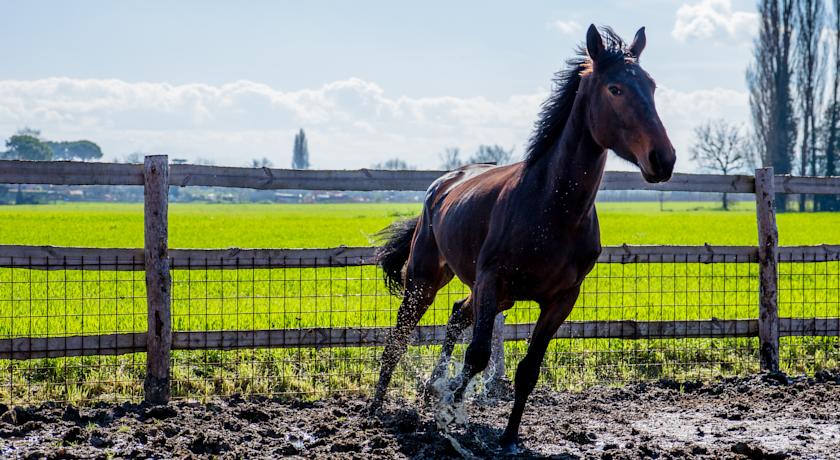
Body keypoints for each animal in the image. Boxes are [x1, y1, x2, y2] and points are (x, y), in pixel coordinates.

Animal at [368, 24, 676, 450]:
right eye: (615, 88)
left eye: (651, 85)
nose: (663, 159)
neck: (551, 207)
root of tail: (442, 184)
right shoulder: (491, 280)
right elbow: (478, 356)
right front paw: (452, 414)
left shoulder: (561, 300)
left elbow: (528, 370)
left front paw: (507, 436)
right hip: (426, 279)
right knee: (399, 337)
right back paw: (377, 407)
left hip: (497, 296)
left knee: (456, 315)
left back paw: (433, 390)